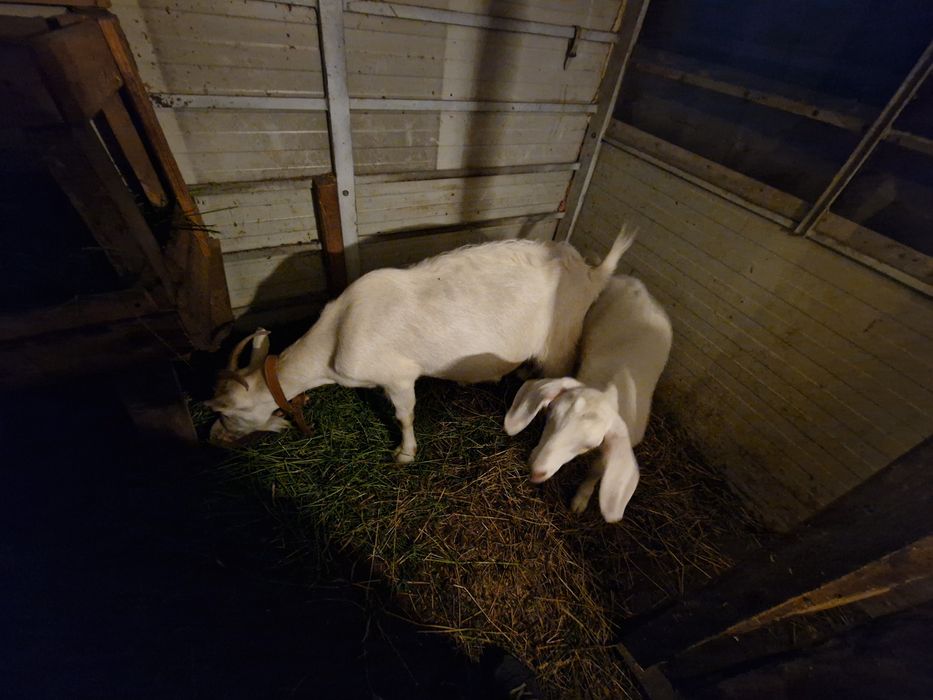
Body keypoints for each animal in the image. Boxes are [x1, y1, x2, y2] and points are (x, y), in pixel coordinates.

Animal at [206, 230, 636, 461]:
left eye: (229, 414)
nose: (216, 439)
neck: (335, 336)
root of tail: (591, 272)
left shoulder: (398, 376)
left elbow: (404, 415)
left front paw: (405, 454)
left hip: (561, 342)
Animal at [503, 275, 672, 522]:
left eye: (588, 445)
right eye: (550, 415)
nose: (536, 471)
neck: (610, 388)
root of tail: (638, 285)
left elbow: (596, 471)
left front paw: (580, 500)